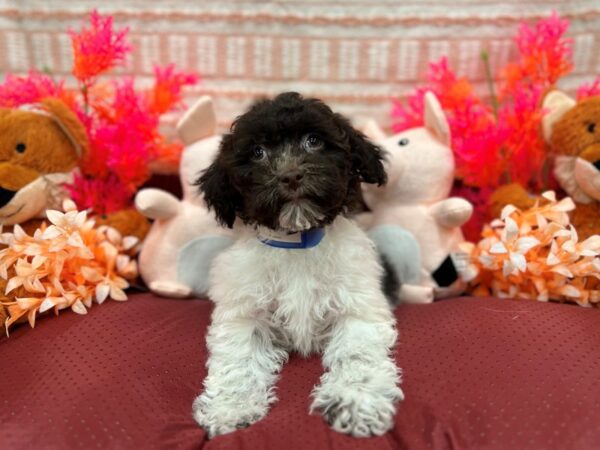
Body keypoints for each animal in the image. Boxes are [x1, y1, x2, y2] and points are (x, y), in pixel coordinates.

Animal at [193, 93, 404, 438]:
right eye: (258, 152)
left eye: (313, 141)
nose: (290, 176)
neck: (297, 241)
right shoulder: (244, 312)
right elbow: (239, 359)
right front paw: (231, 408)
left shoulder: (357, 308)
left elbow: (358, 355)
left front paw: (354, 404)